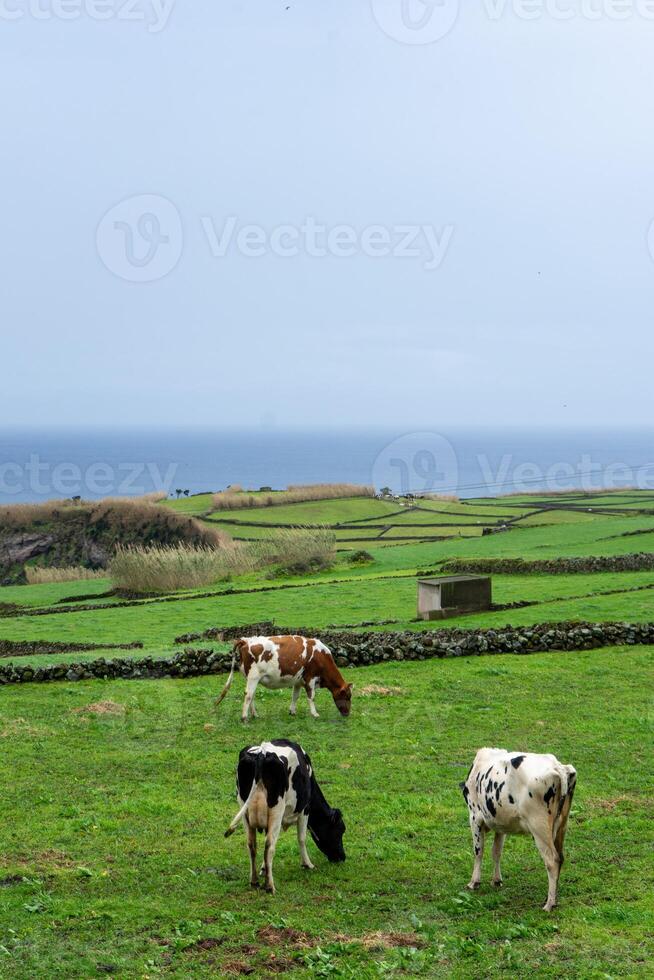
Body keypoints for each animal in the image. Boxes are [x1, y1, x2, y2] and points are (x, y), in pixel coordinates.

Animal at [215, 636, 354, 720]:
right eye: (347, 696)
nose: (347, 714)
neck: (321, 656)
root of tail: (245, 640)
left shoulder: (298, 680)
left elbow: (295, 696)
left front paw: (292, 711)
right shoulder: (310, 678)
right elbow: (311, 697)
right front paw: (314, 713)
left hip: (249, 678)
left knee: (251, 695)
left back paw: (255, 714)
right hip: (254, 676)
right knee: (248, 695)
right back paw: (244, 717)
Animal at [224, 740, 348, 892]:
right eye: (340, 831)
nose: (342, 857)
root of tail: (262, 753)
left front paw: (264, 868)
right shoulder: (305, 809)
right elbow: (302, 838)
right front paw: (307, 864)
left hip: (244, 810)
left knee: (252, 844)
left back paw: (254, 881)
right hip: (277, 810)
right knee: (269, 845)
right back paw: (270, 886)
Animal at [462, 752, 580, 912]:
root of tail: (557, 766)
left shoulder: (475, 817)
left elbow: (478, 851)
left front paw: (474, 882)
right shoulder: (501, 824)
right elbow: (496, 851)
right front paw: (497, 880)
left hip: (539, 827)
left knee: (552, 860)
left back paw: (549, 904)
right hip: (562, 824)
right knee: (560, 857)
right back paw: (553, 899)